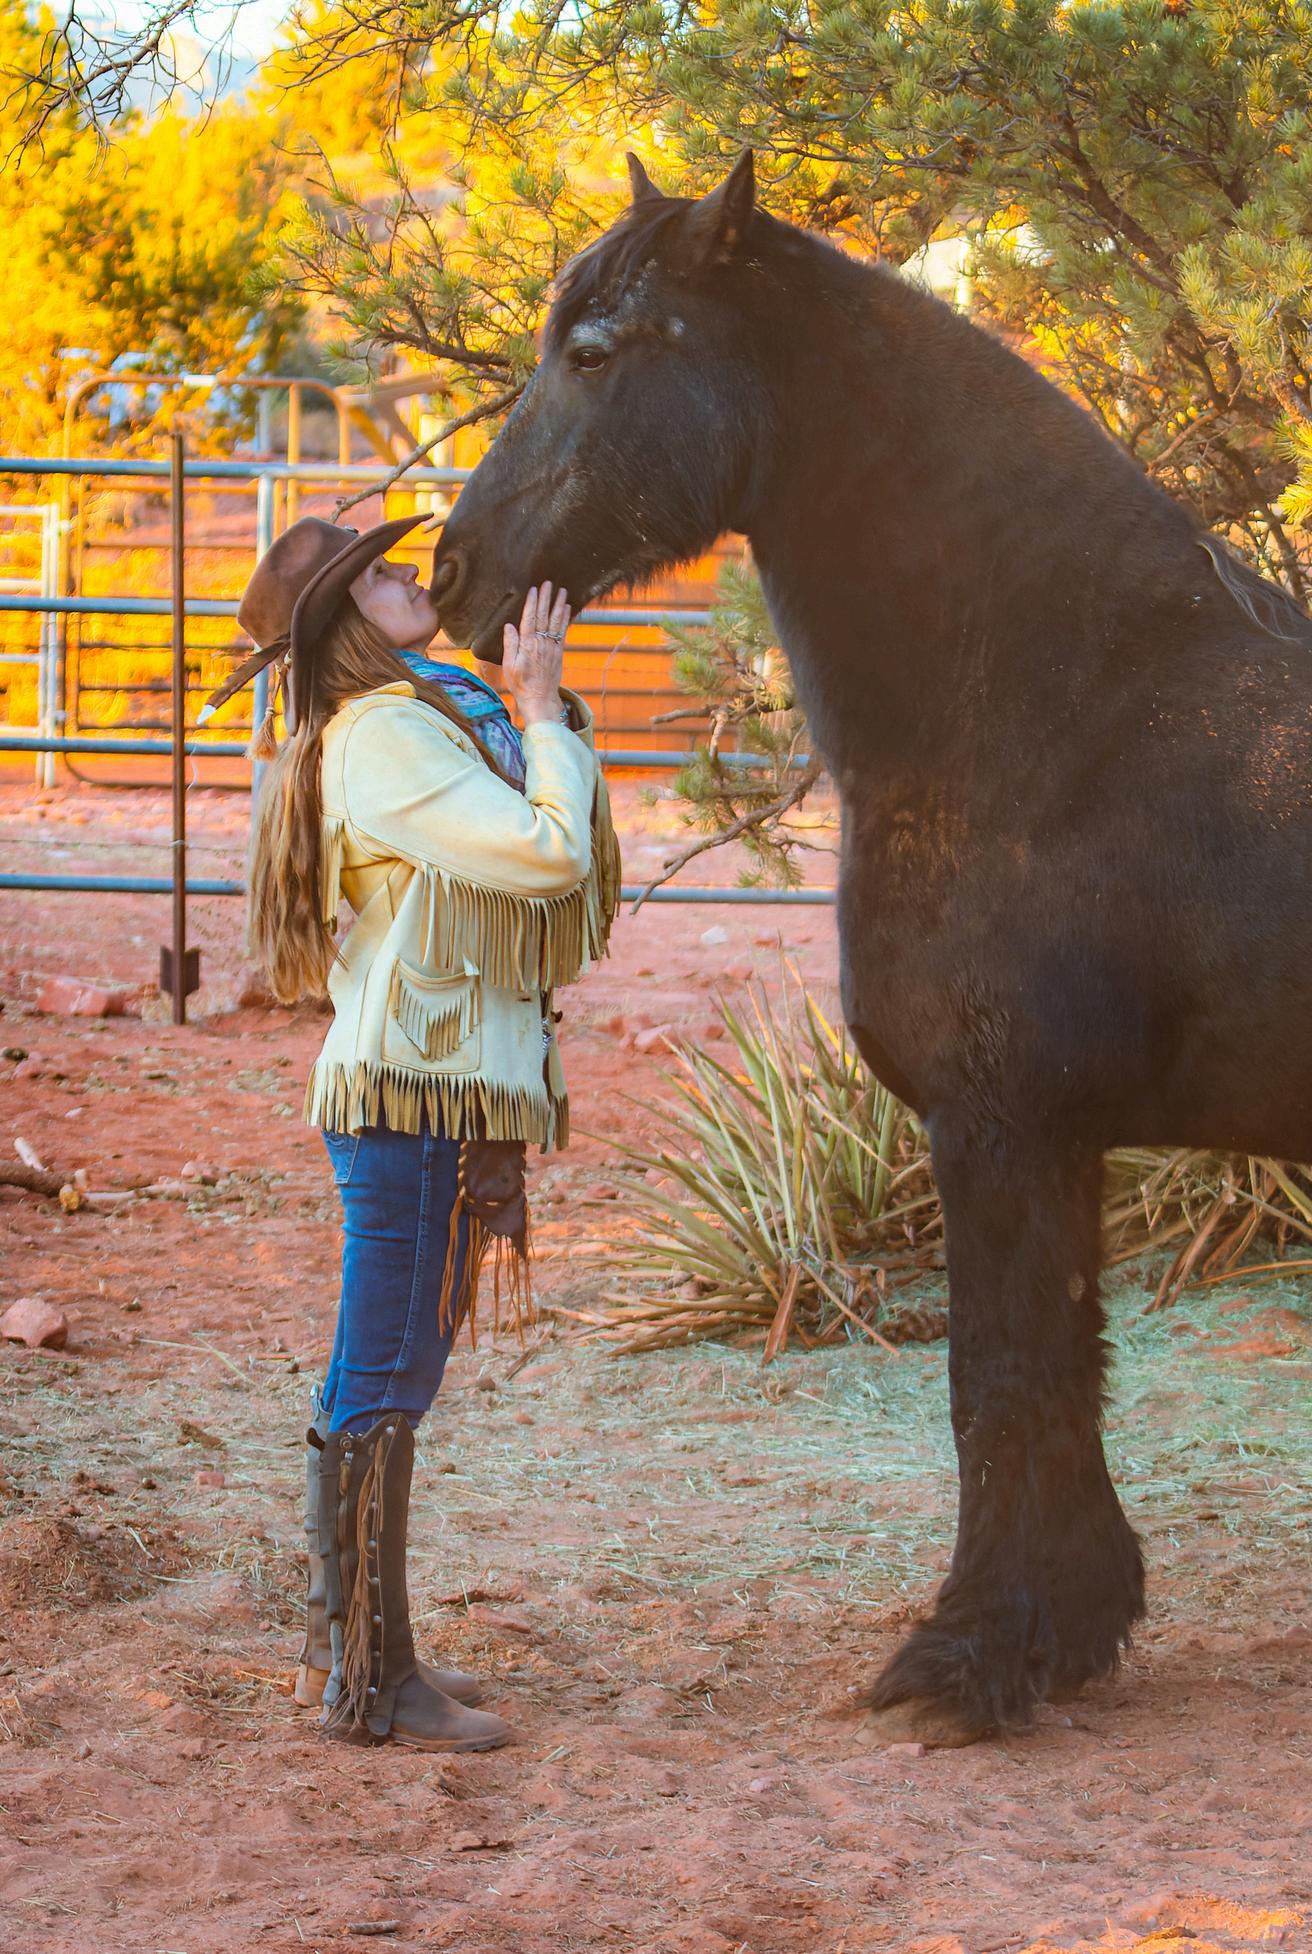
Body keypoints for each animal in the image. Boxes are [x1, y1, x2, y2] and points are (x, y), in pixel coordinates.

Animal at [430, 150, 1312, 1747]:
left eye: (592, 352)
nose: (458, 566)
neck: (1067, 702)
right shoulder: (1054, 1144)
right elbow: (1056, 1374)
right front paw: (1066, 1626)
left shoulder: (999, 1127)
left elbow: (998, 1380)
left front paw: (970, 1659)